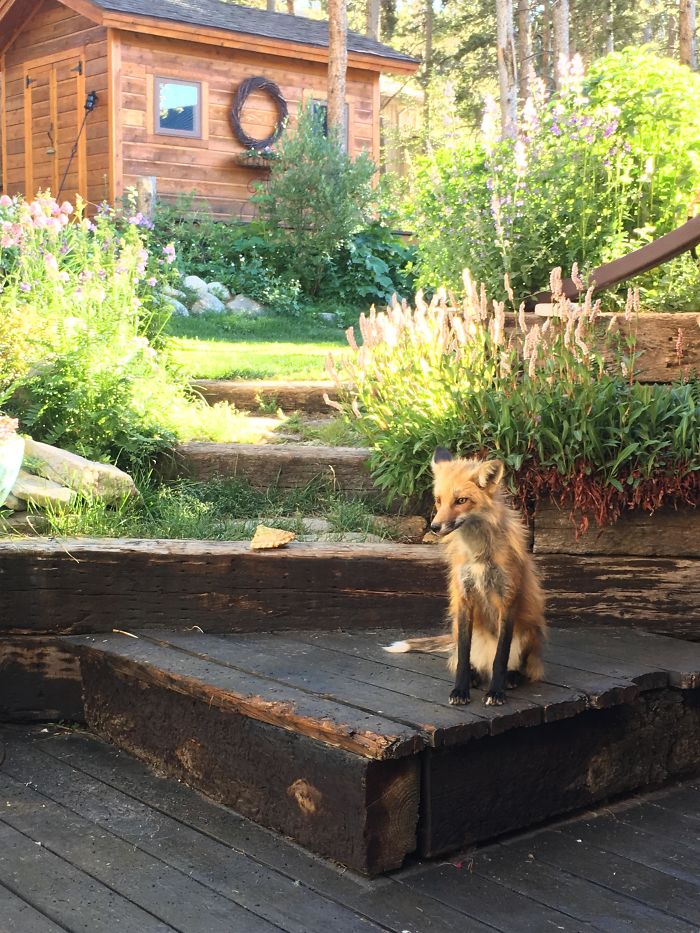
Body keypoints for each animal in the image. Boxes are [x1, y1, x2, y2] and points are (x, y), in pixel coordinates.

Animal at [385, 449, 546, 706]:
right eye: (438, 500)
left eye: (461, 501)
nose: (434, 527)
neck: (479, 556)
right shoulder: (464, 598)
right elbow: (462, 654)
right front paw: (460, 690)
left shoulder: (507, 599)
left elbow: (501, 657)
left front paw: (496, 691)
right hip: (458, 628)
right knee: (467, 659)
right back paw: (474, 675)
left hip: (528, 632)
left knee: (518, 665)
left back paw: (511, 678)